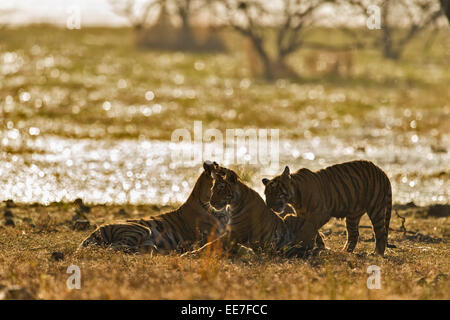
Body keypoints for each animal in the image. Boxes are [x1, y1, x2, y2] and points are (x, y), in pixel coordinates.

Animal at [181, 166, 322, 256]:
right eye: (213, 189)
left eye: (221, 189)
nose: (211, 202)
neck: (234, 205)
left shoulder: (234, 234)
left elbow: (210, 245)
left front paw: (189, 254)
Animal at [262, 161, 392, 256]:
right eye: (266, 194)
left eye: (277, 194)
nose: (270, 206)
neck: (294, 199)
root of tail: (382, 172)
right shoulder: (303, 215)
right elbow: (313, 230)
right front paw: (321, 246)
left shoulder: (321, 213)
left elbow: (308, 228)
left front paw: (303, 242)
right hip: (353, 215)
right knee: (354, 234)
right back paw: (345, 251)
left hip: (376, 208)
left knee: (381, 232)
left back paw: (377, 254)